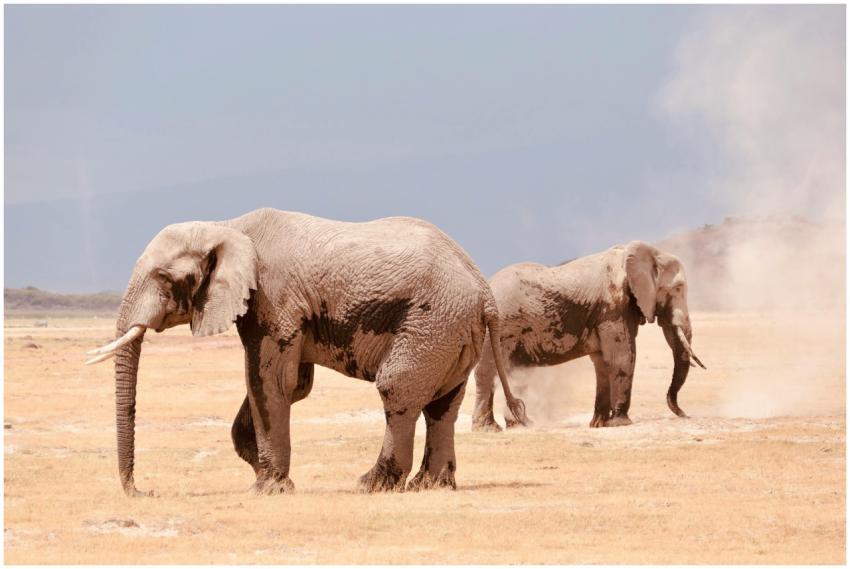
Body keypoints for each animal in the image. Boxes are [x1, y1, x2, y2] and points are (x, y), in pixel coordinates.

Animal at [86, 208, 527, 496]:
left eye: (164, 277)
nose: (142, 492)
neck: (227, 227)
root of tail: (484, 290)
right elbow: (291, 385)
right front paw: (264, 472)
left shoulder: (274, 299)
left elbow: (269, 381)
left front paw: (270, 487)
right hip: (454, 332)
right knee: (442, 405)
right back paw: (430, 485)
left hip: (432, 323)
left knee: (397, 391)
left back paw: (372, 484)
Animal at [470, 240, 705, 431]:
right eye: (678, 288)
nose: (684, 415)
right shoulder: (613, 308)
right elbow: (621, 357)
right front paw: (621, 423)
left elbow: (602, 362)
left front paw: (599, 425)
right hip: (499, 329)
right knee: (489, 373)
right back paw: (489, 429)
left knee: (513, 375)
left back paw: (519, 425)